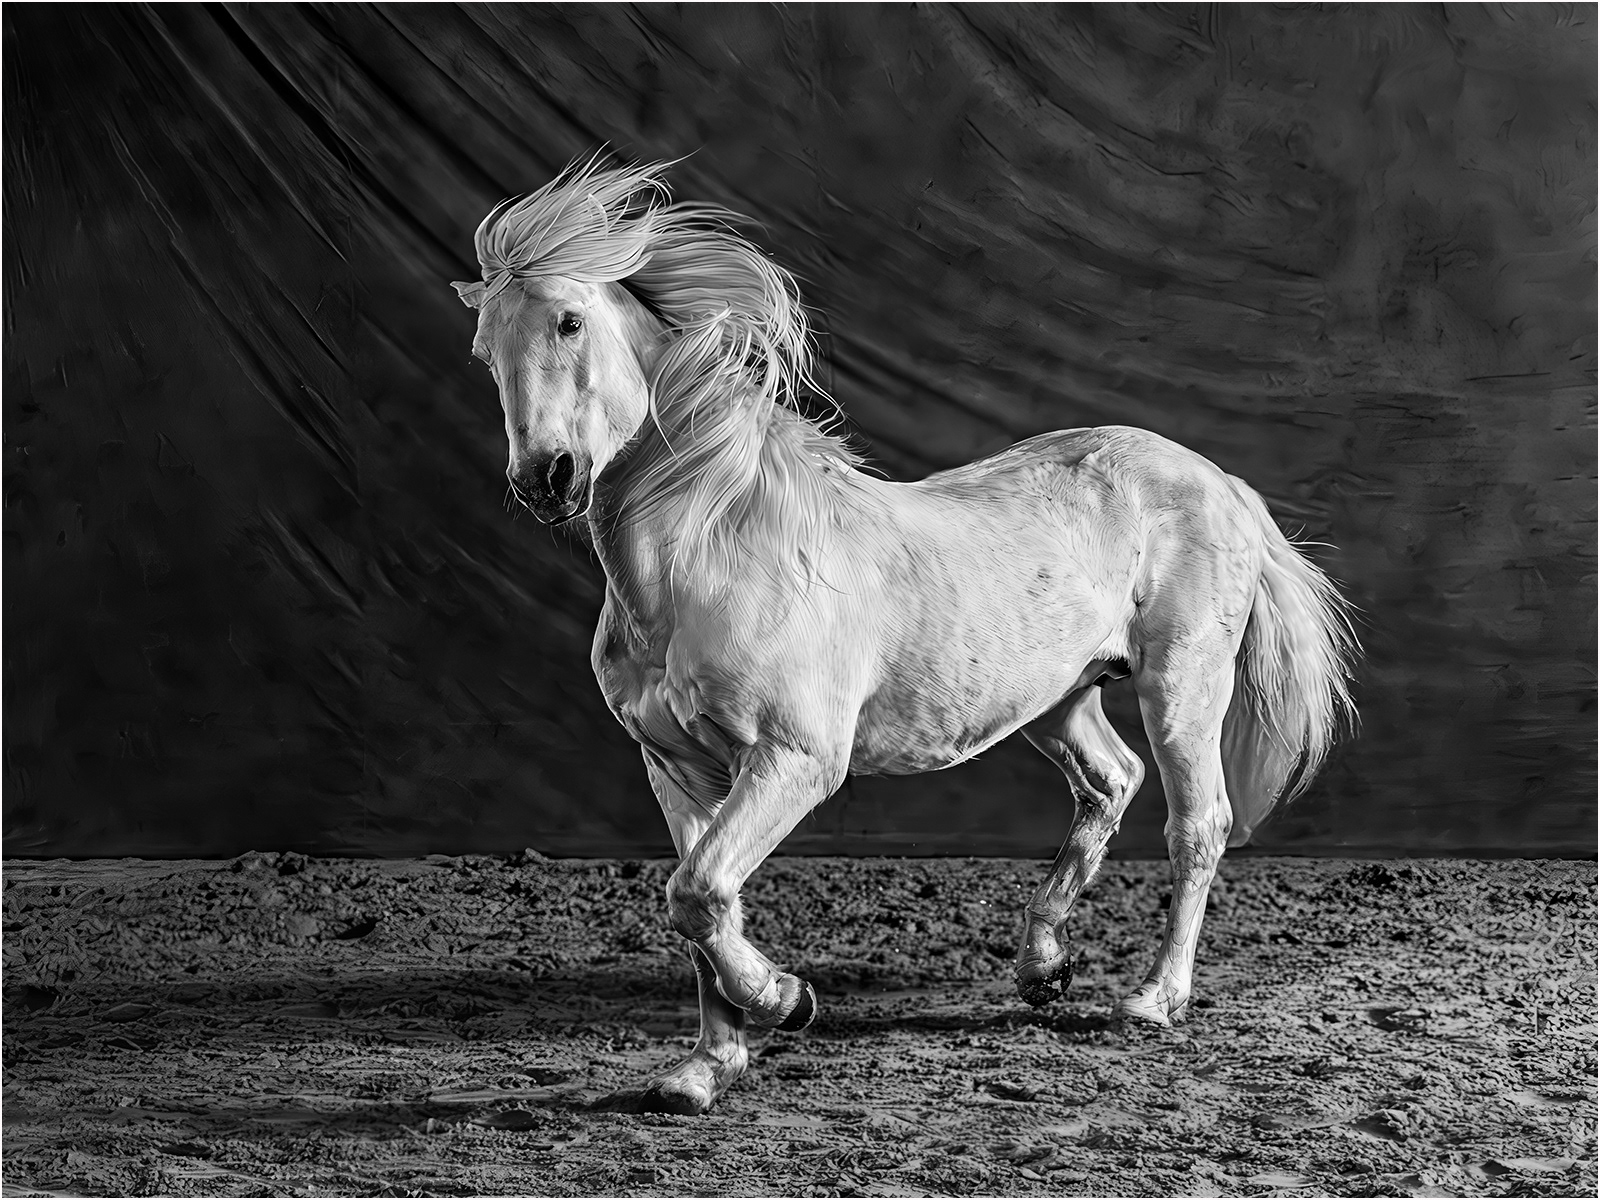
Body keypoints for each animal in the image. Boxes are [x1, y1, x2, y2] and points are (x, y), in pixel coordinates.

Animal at [452, 155, 1359, 1116]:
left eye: (570, 319)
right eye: (483, 348)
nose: (545, 478)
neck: (714, 550)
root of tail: (1218, 479)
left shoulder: (795, 759)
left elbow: (697, 892)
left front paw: (786, 1001)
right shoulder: (678, 768)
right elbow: (703, 900)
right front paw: (704, 1070)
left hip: (1181, 686)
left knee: (1198, 825)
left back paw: (1153, 998)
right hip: (1057, 698)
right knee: (1111, 782)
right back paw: (1043, 968)